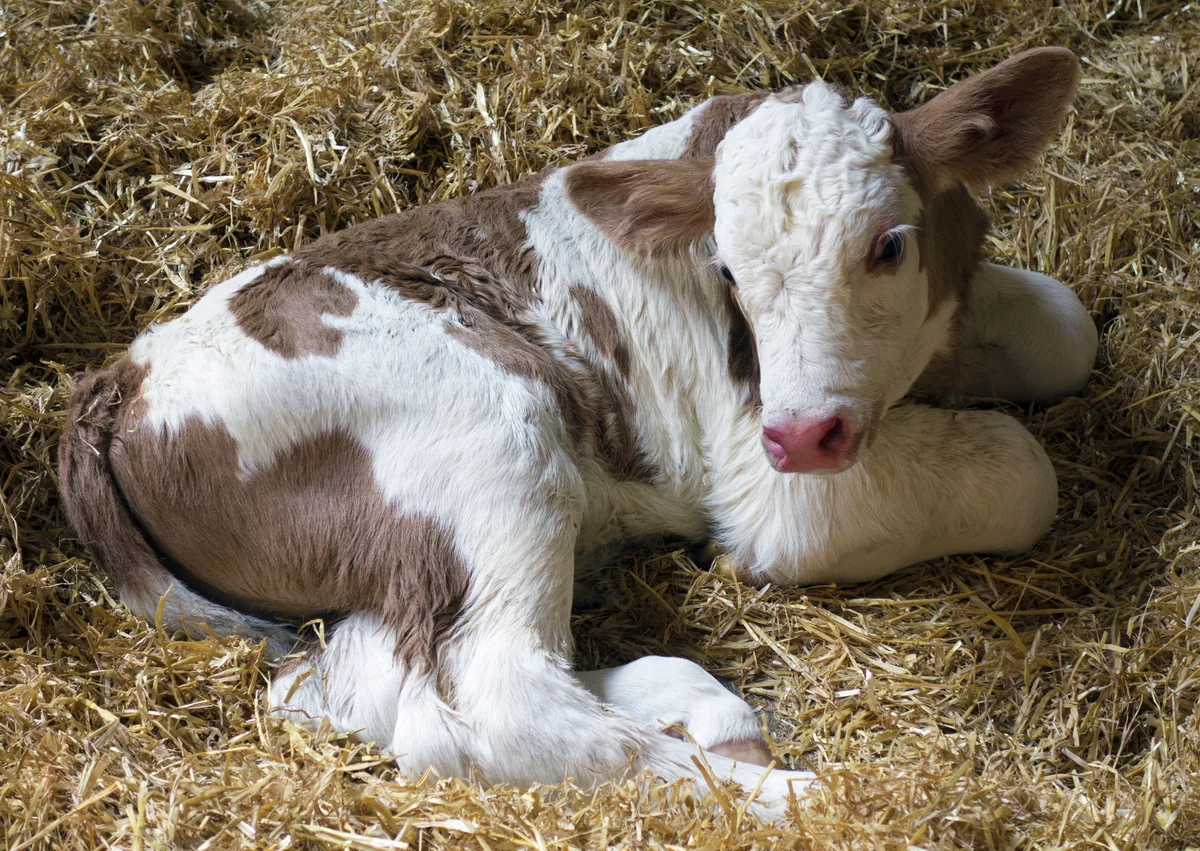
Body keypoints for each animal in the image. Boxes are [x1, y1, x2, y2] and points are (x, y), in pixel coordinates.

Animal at [57, 48, 1096, 816]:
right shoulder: (781, 488)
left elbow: (1068, 327)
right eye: (728, 269)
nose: (803, 432)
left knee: (352, 685)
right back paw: (786, 794)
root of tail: (119, 381)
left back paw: (700, 707)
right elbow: (1021, 470)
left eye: (890, 244)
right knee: (487, 704)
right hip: (491, 440)